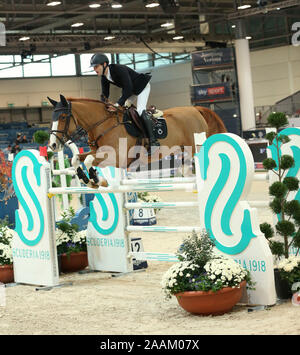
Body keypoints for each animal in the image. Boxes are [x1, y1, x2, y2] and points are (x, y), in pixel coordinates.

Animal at [48, 94, 226, 189]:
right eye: (52, 116)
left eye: (62, 117)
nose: (52, 145)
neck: (103, 123)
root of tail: (196, 109)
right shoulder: (97, 151)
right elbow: (76, 159)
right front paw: (89, 181)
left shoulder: (118, 157)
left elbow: (90, 160)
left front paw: (98, 180)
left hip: (195, 148)